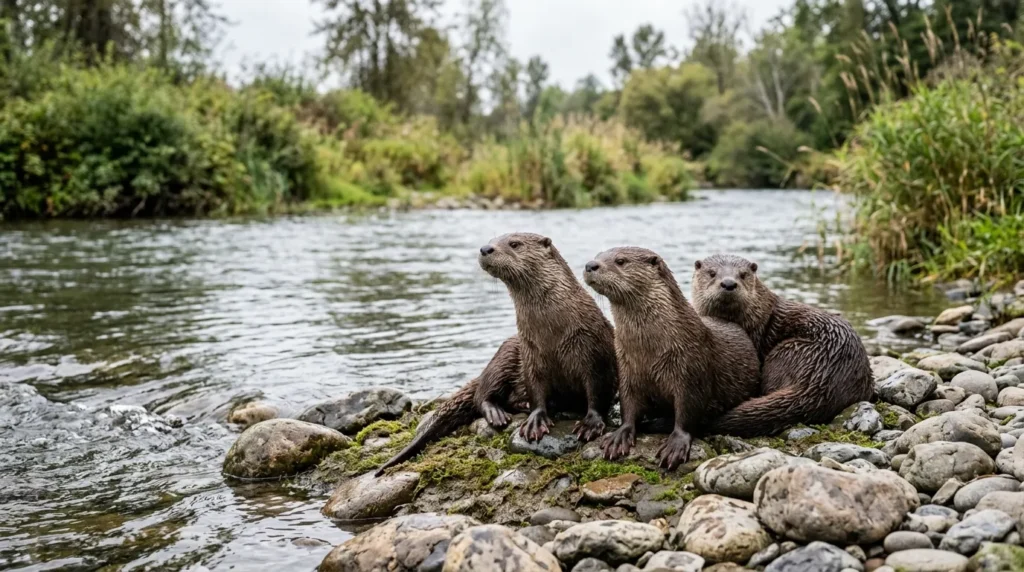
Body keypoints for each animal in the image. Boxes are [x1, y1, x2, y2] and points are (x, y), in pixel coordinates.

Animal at [479, 232, 617, 442]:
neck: (551, 336)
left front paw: (590, 424)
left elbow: (598, 392)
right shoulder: (530, 353)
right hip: (504, 357)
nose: (485, 249)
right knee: (482, 393)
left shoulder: (593, 351)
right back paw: (501, 411)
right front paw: (535, 421)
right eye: (490, 240)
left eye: (514, 244)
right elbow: (536, 390)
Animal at [584, 247, 761, 469]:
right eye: (597, 256)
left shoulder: (691, 369)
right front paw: (620, 435)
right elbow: (629, 404)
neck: (649, 350)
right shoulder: (627, 369)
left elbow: (687, 410)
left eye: (620, 261)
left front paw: (676, 444)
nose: (590, 265)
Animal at [691, 254, 873, 437]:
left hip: (786, 352)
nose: (729, 283)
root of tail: (822, 378)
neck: (755, 319)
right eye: (712, 273)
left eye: (743, 274)